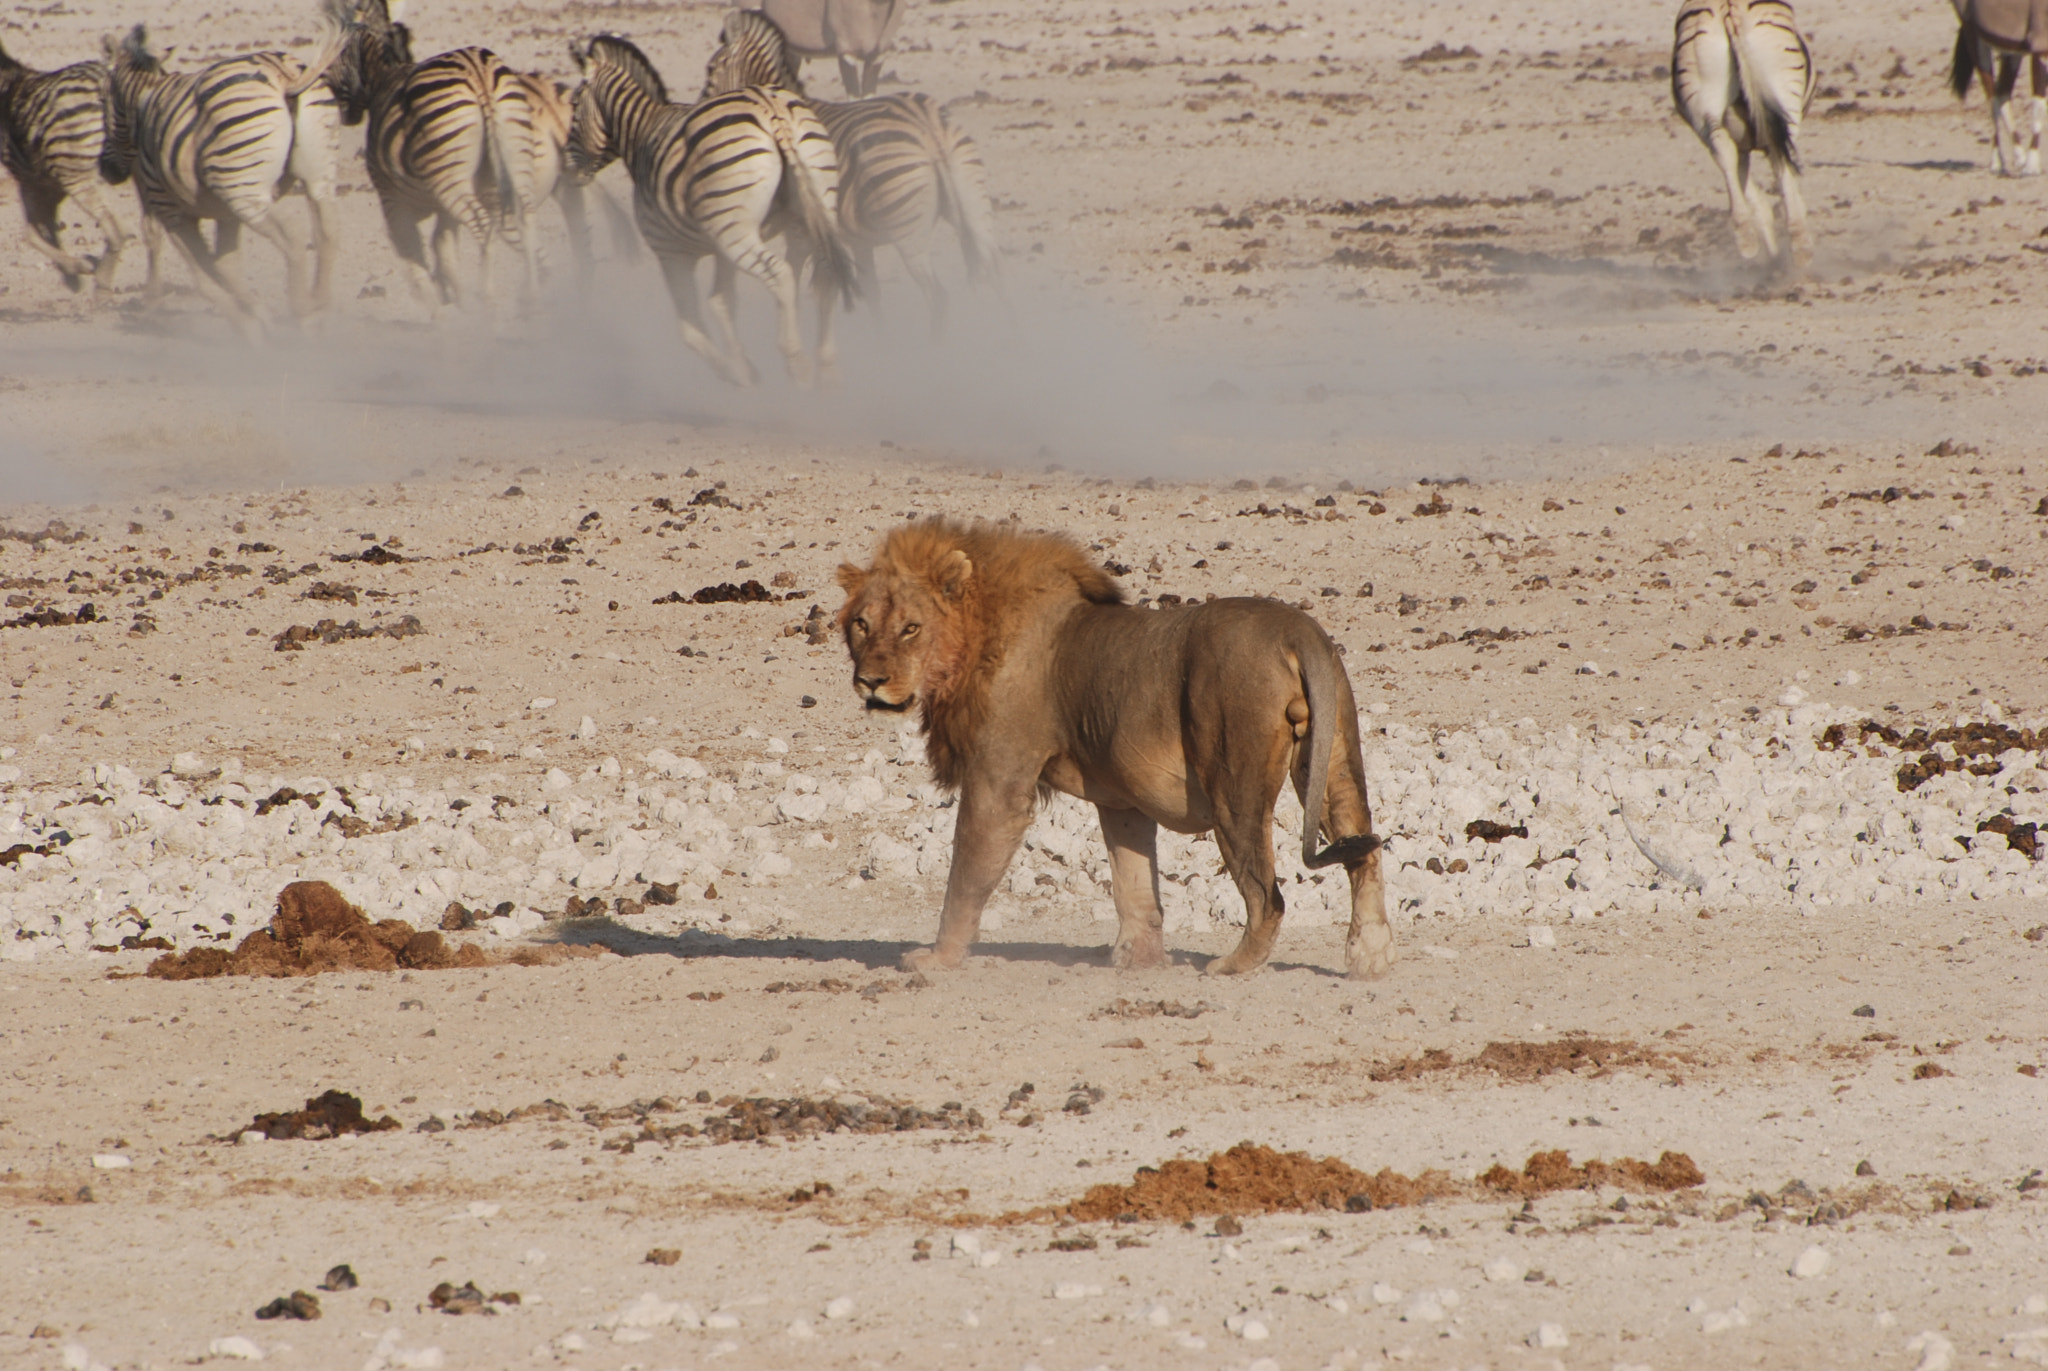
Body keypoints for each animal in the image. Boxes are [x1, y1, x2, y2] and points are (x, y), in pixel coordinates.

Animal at [836, 516, 1394, 979]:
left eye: (911, 628)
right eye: (862, 624)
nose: (870, 681)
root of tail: (1296, 629)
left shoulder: (999, 784)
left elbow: (964, 881)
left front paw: (938, 958)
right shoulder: (1123, 801)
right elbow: (1133, 883)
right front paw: (1138, 959)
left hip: (1234, 783)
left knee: (1266, 896)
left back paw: (1232, 966)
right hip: (1336, 761)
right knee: (1363, 855)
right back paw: (1368, 960)